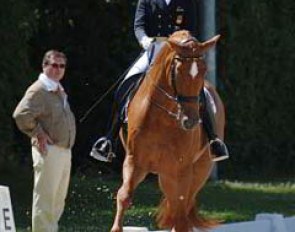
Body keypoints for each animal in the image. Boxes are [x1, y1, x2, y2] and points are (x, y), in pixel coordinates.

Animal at [111, 29, 224, 231]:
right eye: (178, 70)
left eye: (204, 70)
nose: (190, 121)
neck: (161, 117)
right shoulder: (134, 161)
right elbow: (124, 195)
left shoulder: (181, 169)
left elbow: (180, 213)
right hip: (166, 175)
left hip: (197, 170)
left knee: (182, 210)